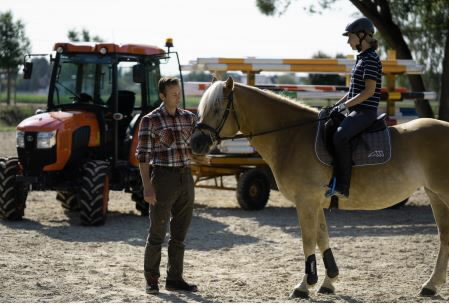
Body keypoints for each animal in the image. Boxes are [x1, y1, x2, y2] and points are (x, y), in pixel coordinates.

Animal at [191, 76, 448, 296]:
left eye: (217, 109)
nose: (195, 143)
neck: (292, 137)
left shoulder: (306, 202)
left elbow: (308, 240)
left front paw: (305, 286)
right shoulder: (316, 203)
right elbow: (322, 238)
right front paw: (328, 281)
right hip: (435, 195)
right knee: (444, 236)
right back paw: (431, 285)